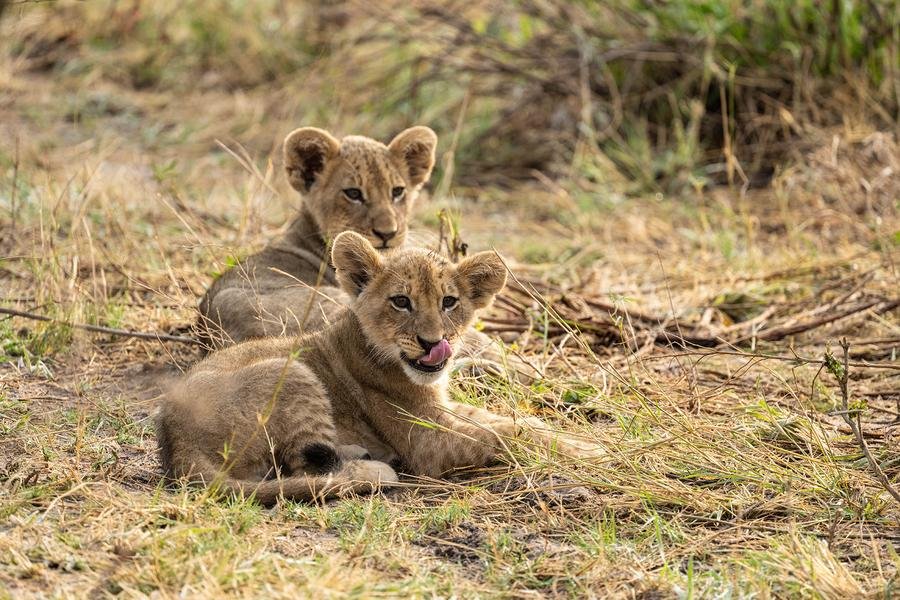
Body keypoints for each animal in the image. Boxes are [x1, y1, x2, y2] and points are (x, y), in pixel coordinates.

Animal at [158, 232, 592, 505]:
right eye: (401, 302)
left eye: (449, 302)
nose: (432, 343)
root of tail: (175, 442)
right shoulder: (426, 443)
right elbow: (502, 436)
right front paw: (587, 451)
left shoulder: (442, 409)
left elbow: (512, 423)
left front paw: (573, 438)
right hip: (291, 370)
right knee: (302, 465)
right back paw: (375, 468)